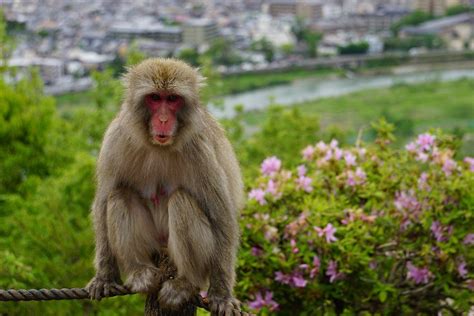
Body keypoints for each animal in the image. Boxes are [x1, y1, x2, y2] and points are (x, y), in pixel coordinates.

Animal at [87, 58, 244, 314]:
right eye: (154, 98)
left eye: (172, 99)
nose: (162, 120)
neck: (159, 145)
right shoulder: (115, 140)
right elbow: (102, 203)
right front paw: (105, 276)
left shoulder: (200, 150)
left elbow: (221, 216)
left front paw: (221, 294)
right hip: (152, 244)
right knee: (119, 195)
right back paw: (140, 271)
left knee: (181, 202)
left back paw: (185, 283)